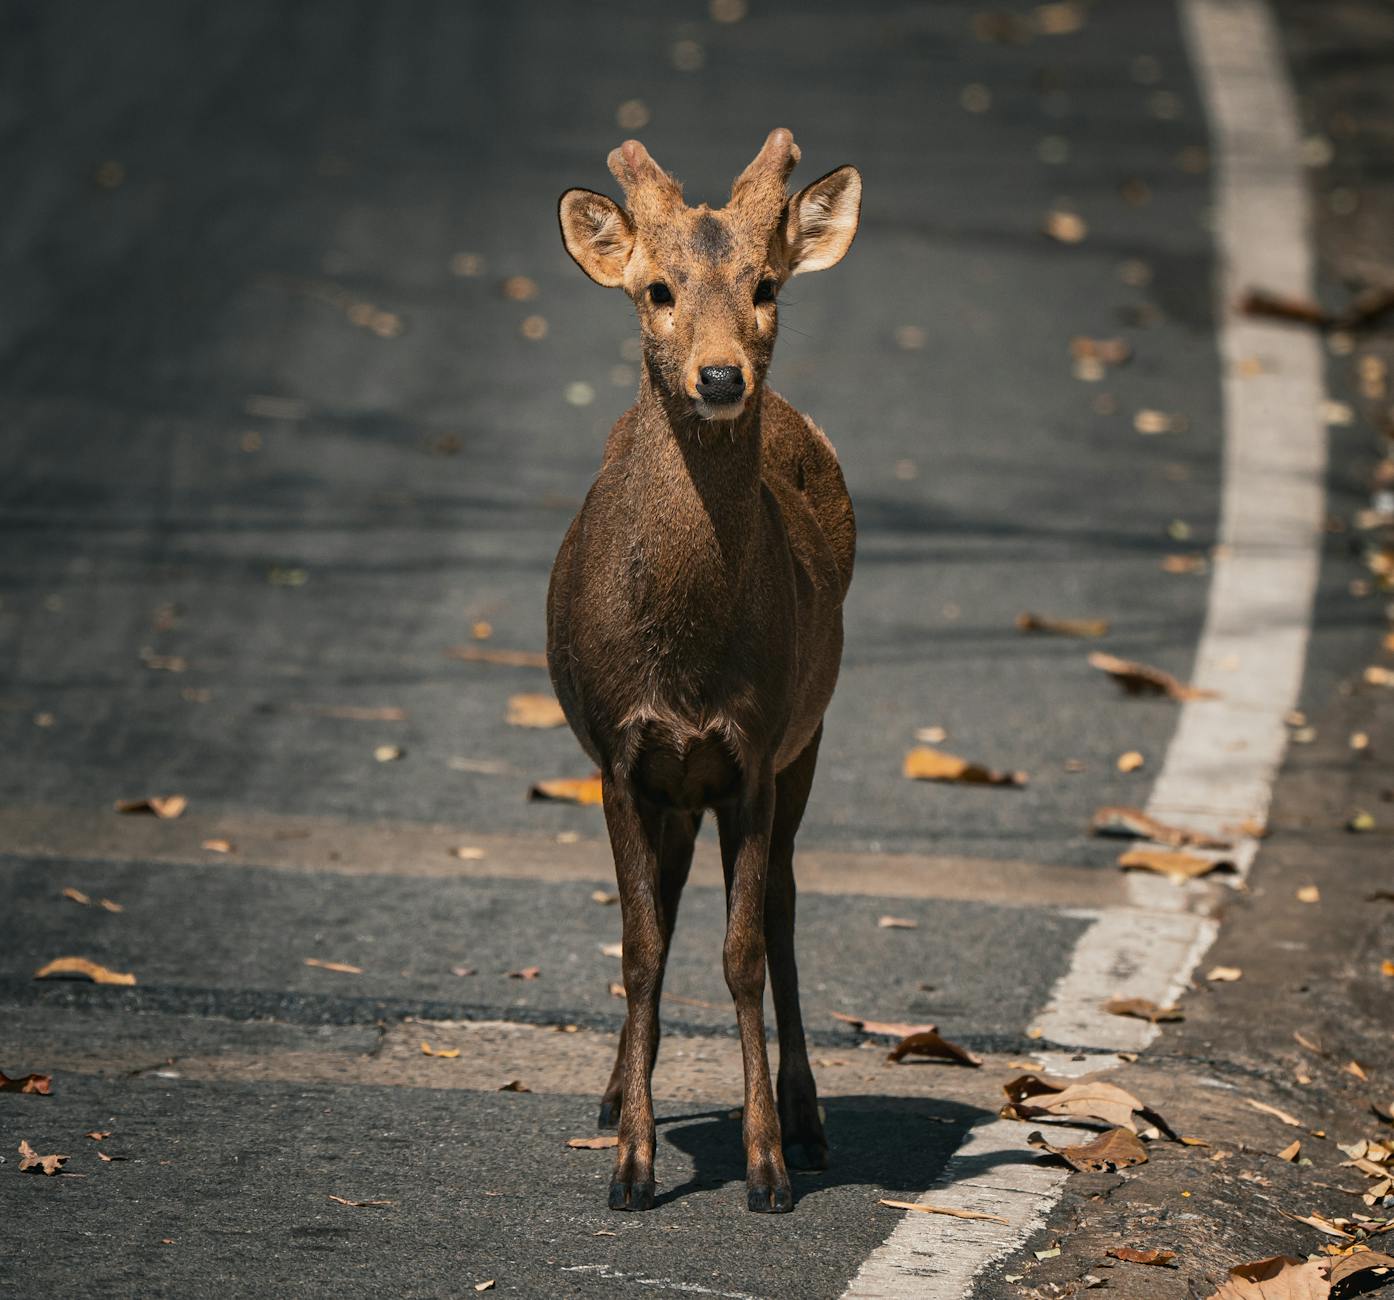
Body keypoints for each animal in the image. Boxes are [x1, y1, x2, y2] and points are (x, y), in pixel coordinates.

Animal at [548, 128, 860, 1214]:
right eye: (657, 290)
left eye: (765, 285)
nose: (720, 377)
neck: (682, 662)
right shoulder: (620, 754)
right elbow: (641, 950)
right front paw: (632, 1165)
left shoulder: (755, 750)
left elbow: (741, 952)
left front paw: (765, 1165)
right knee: (673, 900)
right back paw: (612, 1093)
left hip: (809, 737)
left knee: (783, 909)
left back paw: (807, 1118)